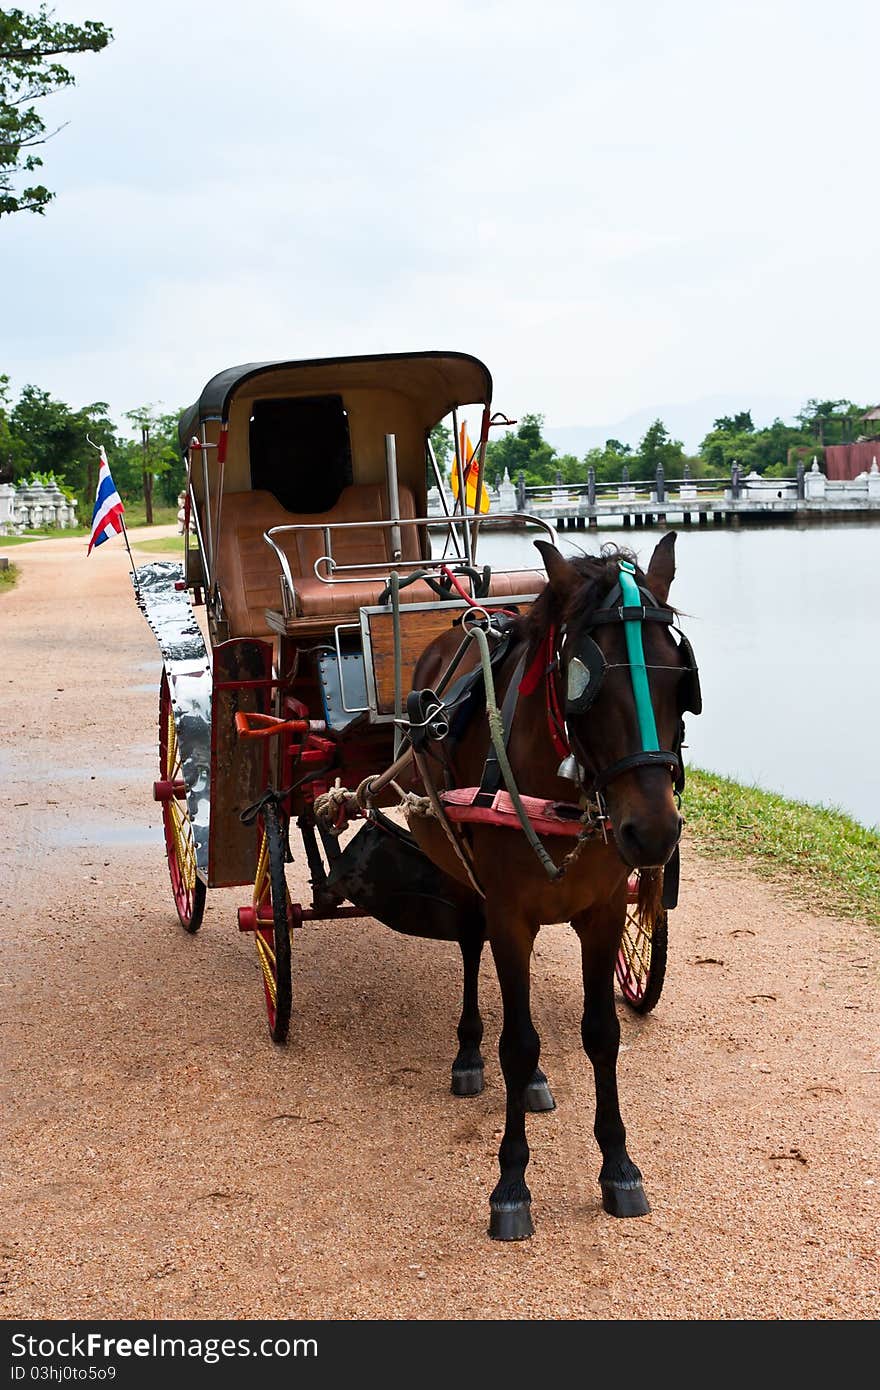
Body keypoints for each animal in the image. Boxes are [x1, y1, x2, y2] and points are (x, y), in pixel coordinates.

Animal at [400, 530, 697, 1239]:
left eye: (681, 678)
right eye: (584, 680)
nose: (653, 832)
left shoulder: (604, 911)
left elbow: (602, 1034)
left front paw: (619, 1165)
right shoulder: (510, 914)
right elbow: (516, 1039)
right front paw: (511, 1181)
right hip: (464, 874)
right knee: (471, 946)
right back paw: (470, 1053)